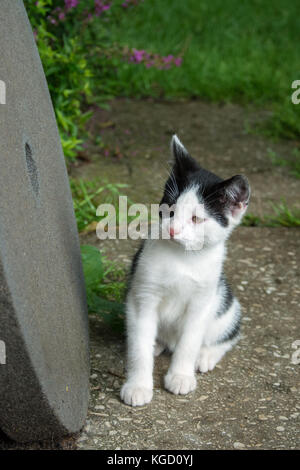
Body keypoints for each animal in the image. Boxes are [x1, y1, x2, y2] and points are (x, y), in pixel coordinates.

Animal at [120, 134, 250, 406]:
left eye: (196, 218)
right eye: (169, 207)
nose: (172, 230)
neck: (183, 258)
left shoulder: (203, 300)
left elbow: (189, 341)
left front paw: (180, 376)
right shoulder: (142, 295)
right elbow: (138, 345)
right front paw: (138, 385)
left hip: (225, 305)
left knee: (230, 334)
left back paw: (206, 355)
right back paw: (157, 345)